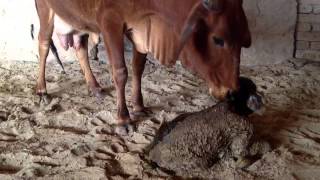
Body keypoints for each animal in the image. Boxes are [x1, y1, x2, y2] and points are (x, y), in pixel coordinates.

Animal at [34, 0, 250, 126]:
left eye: (244, 39)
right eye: (218, 39)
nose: (231, 92)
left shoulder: (142, 29)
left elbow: (138, 68)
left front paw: (138, 106)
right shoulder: (110, 21)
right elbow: (120, 72)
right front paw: (123, 119)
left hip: (78, 19)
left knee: (80, 48)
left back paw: (94, 87)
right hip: (46, 10)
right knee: (43, 45)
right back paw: (42, 90)